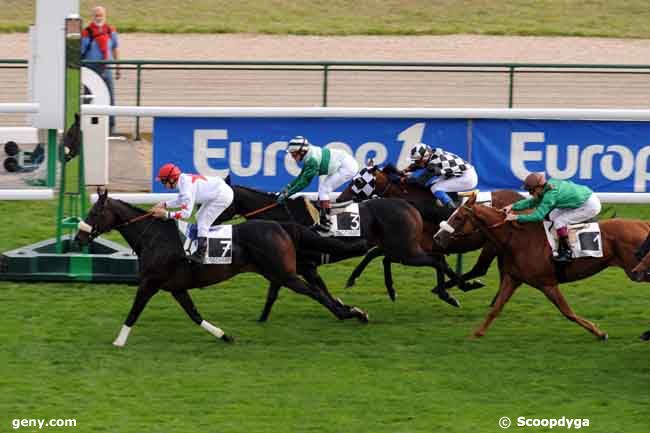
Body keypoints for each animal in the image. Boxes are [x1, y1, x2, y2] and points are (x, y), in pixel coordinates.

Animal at [74, 191, 370, 346]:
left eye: (94, 213)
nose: (78, 238)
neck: (154, 237)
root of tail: (281, 226)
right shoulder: (175, 287)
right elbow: (194, 314)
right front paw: (224, 335)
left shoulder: (150, 283)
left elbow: (134, 312)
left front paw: (118, 341)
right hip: (276, 272)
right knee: (313, 290)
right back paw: (350, 311)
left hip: (285, 274)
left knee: (316, 293)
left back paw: (351, 313)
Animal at [432, 193, 650, 340]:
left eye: (458, 217)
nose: (437, 237)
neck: (518, 239)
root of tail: (644, 225)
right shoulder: (513, 279)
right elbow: (496, 309)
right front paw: (476, 334)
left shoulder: (547, 284)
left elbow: (568, 312)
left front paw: (599, 333)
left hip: (637, 269)